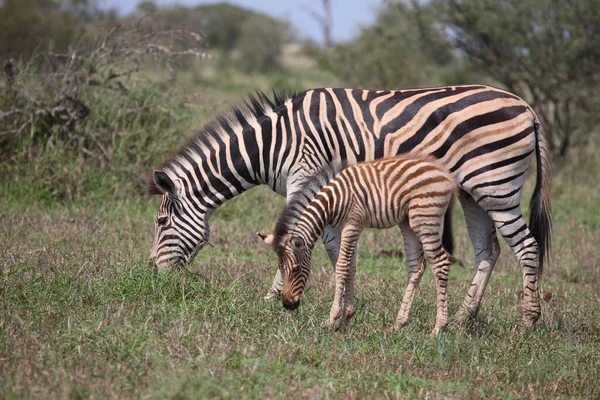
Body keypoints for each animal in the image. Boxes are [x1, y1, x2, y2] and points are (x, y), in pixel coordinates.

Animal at [262, 156, 454, 334]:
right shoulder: (347, 229)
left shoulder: (352, 225)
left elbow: (341, 266)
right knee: (416, 266)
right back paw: (399, 324)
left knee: (441, 263)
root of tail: (444, 173)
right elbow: (351, 267)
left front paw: (331, 319)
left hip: (425, 218)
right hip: (408, 222)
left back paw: (439, 328)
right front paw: (345, 319)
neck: (333, 201)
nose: (287, 304)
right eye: (281, 268)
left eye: (295, 269)